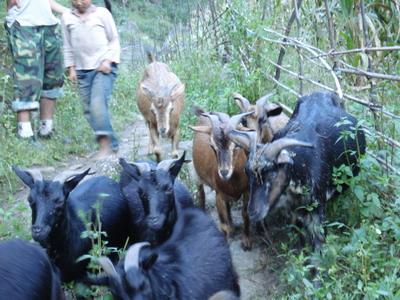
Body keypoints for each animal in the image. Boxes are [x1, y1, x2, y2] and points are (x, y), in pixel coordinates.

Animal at [189, 109, 252, 250]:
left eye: (237, 145)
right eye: (212, 146)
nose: (224, 172)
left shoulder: (247, 191)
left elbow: (245, 214)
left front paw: (246, 241)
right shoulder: (219, 195)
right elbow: (223, 225)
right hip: (197, 175)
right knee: (201, 194)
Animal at [228, 91, 366, 251]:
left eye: (272, 172)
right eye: (247, 172)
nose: (253, 213)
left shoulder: (317, 209)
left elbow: (319, 243)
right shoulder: (294, 210)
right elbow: (298, 231)